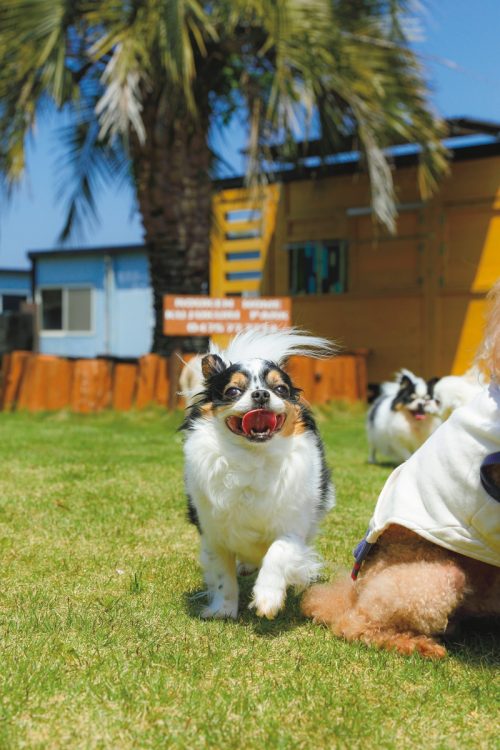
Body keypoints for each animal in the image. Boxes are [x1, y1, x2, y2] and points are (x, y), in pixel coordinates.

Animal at [182, 328, 334, 624]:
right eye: (233, 391)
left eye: (280, 389)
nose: (261, 394)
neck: (253, 456)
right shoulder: (213, 533)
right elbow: (223, 576)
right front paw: (224, 610)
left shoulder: (292, 526)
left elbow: (278, 553)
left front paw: (267, 598)